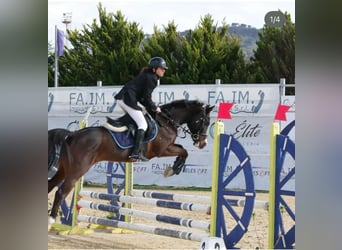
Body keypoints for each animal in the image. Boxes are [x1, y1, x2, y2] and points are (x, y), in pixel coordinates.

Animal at [48, 98, 214, 224]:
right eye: (204, 121)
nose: (203, 144)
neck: (165, 122)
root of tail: (72, 135)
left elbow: (182, 150)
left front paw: (173, 168)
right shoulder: (161, 150)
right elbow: (184, 151)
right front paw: (172, 170)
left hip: (63, 170)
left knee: (51, 185)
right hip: (77, 170)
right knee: (61, 192)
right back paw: (51, 220)